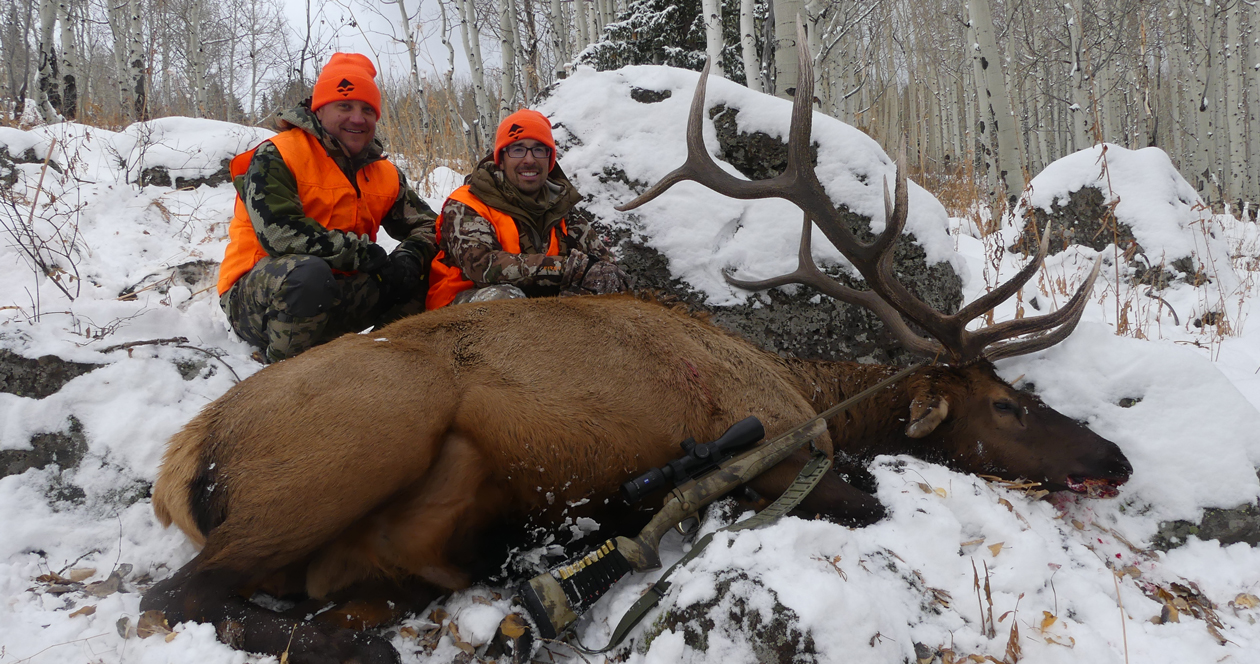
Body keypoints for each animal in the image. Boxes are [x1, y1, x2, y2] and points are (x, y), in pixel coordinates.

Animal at [141, 35, 1131, 664]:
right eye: (1007, 404)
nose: (1113, 459)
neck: (811, 390)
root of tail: (186, 460)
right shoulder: (781, 445)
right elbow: (863, 495)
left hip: (386, 561)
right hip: (354, 443)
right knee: (177, 595)